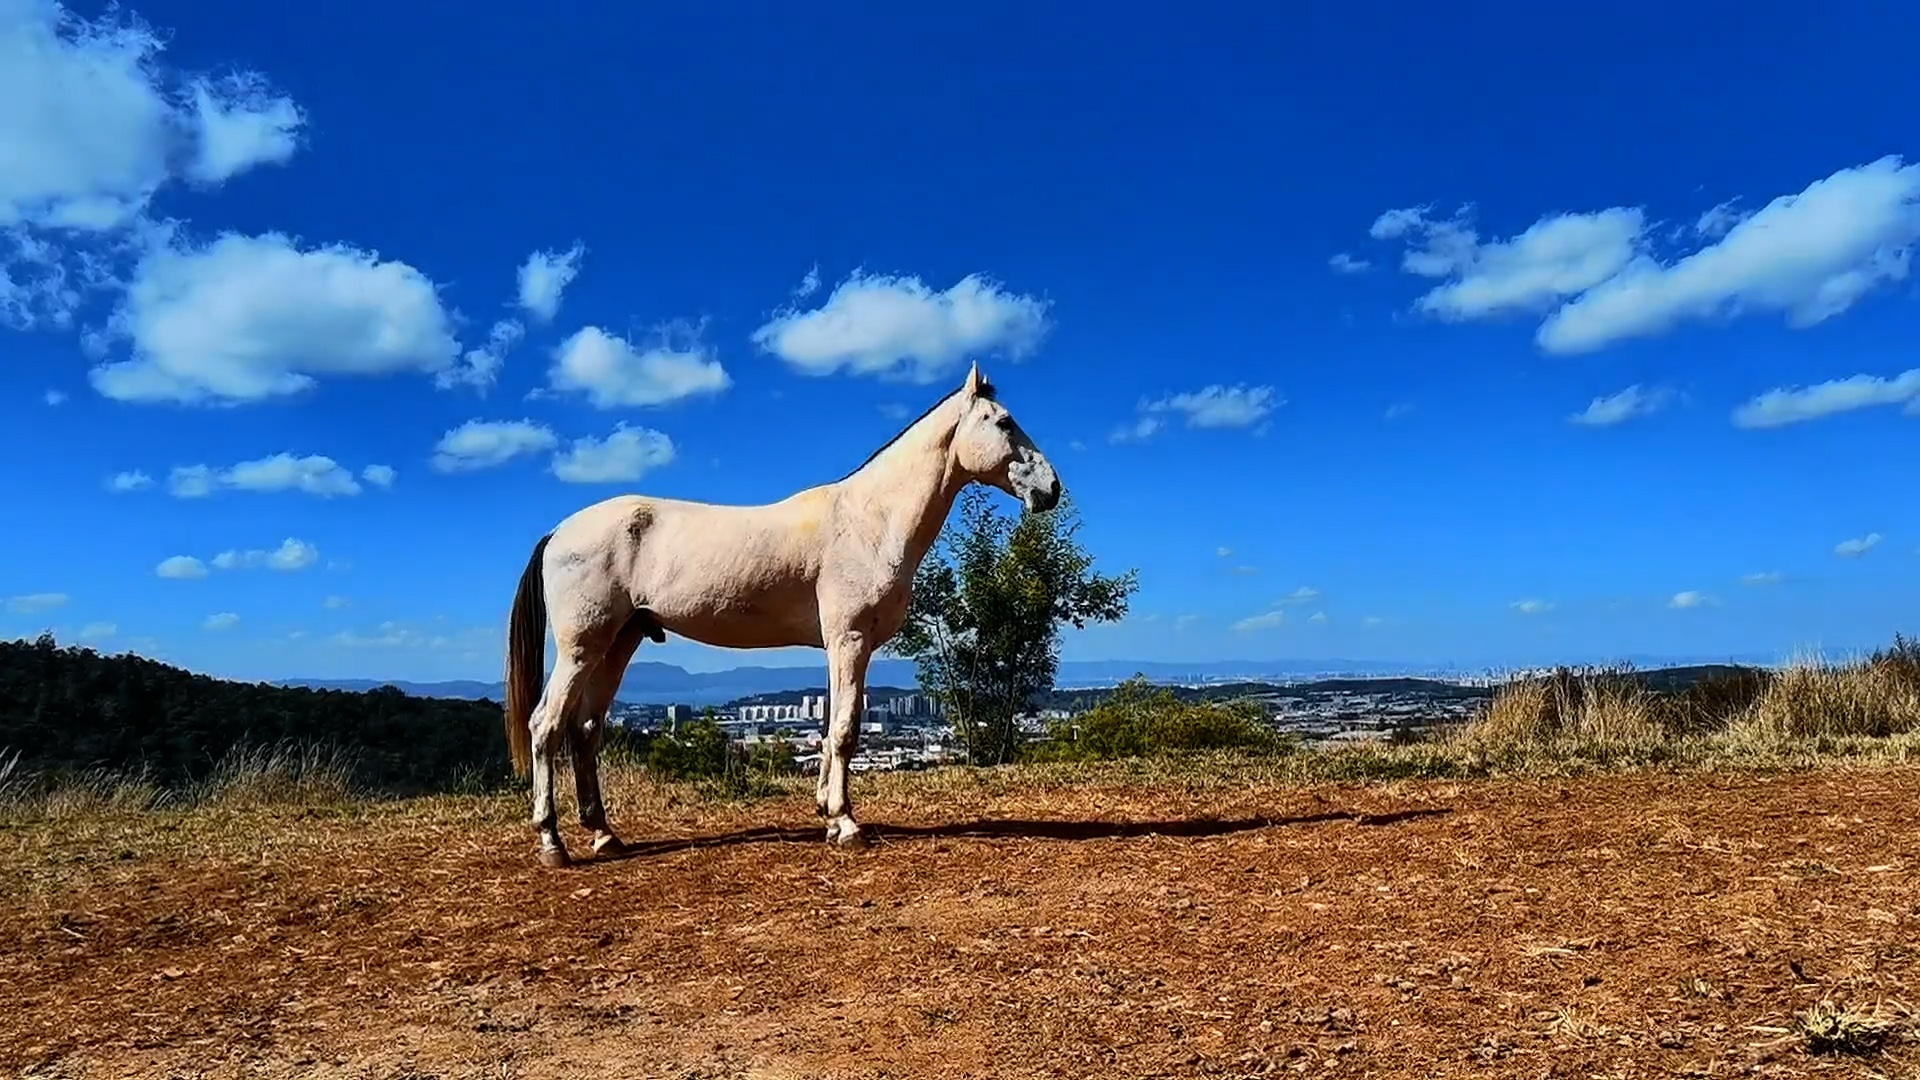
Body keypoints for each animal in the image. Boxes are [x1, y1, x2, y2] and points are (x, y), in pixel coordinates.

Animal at [502, 362, 1061, 867]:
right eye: (1003, 422)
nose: (1051, 488)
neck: (869, 522)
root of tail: (558, 532)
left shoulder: (839, 645)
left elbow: (832, 726)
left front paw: (828, 815)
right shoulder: (850, 640)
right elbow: (846, 729)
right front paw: (847, 825)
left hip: (620, 643)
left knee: (585, 730)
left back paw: (604, 835)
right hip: (581, 648)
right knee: (546, 726)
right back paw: (552, 842)